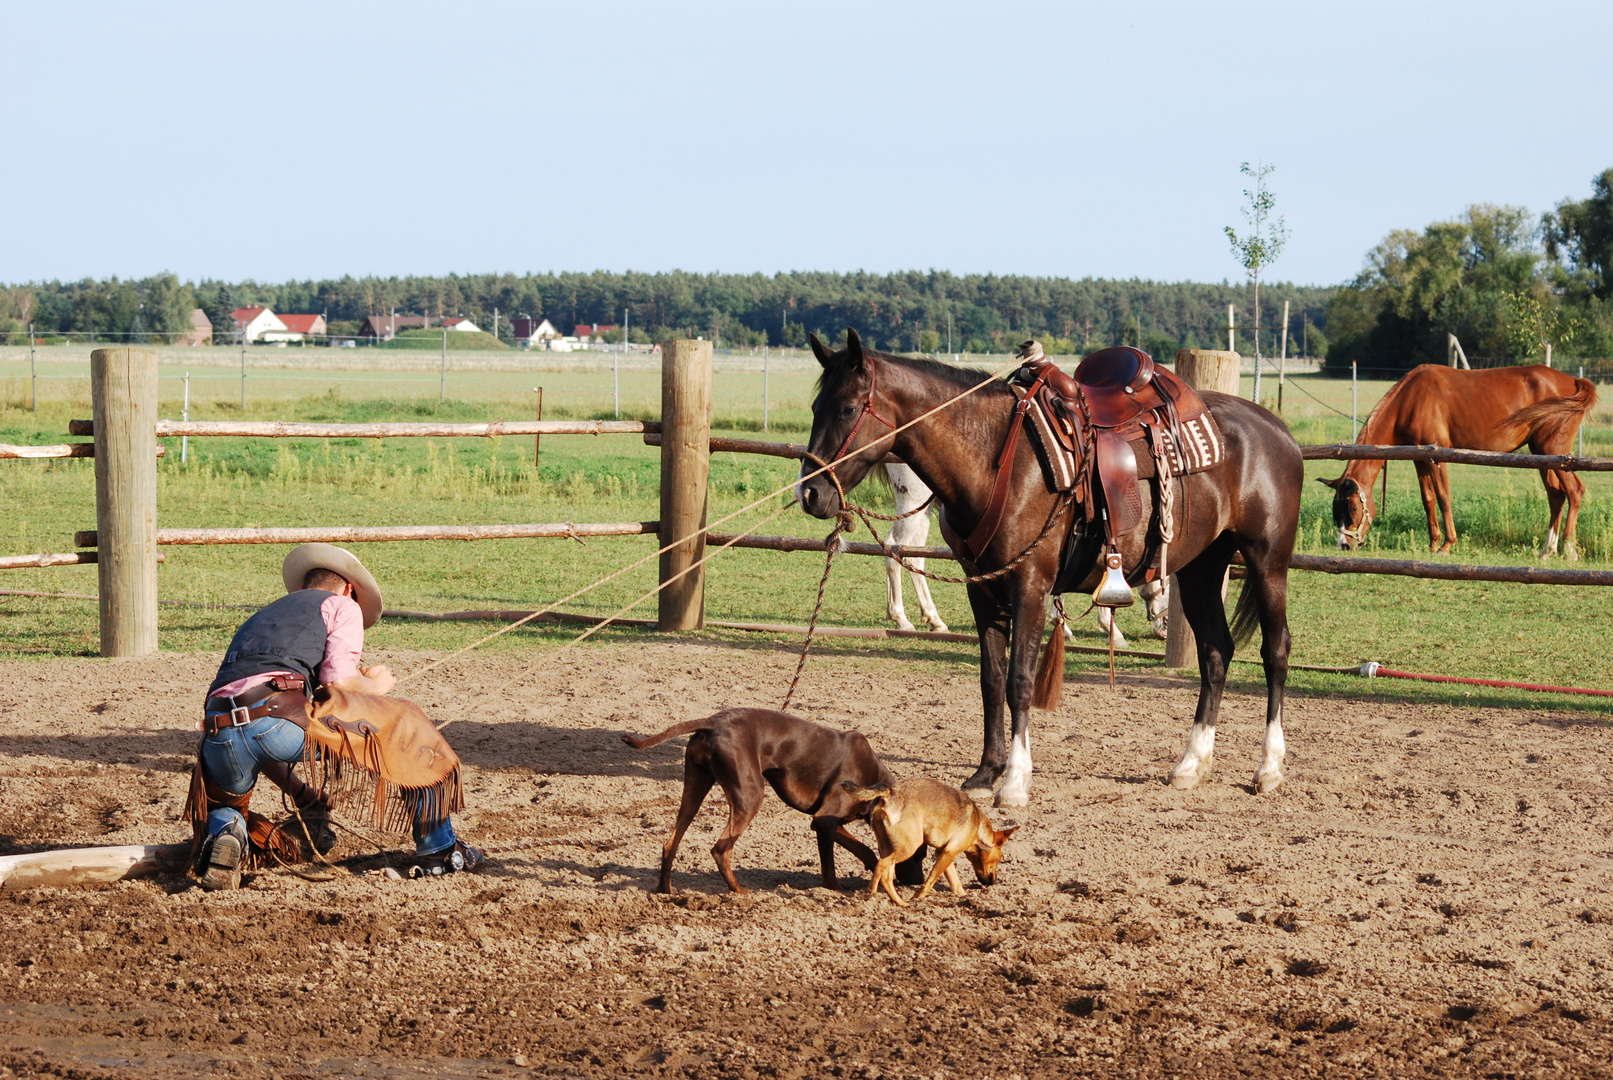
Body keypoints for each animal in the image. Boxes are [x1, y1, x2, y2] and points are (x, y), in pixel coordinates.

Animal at [619, 709, 896, 896]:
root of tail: (713, 723)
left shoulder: (828, 823)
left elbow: (865, 849)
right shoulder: (824, 822)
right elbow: (830, 869)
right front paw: (838, 889)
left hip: (694, 792)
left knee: (670, 843)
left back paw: (665, 889)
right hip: (750, 796)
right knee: (720, 849)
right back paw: (738, 890)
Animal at [800, 333, 1303, 809]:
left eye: (847, 408)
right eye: (815, 407)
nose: (810, 494)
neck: (995, 458)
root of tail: (1277, 429)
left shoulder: (1030, 586)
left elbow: (1020, 681)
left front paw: (1015, 781)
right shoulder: (983, 591)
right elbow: (991, 680)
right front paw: (986, 773)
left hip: (1267, 562)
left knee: (1275, 651)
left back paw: (1269, 768)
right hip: (1202, 566)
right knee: (1216, 652)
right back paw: (1191, 764)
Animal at [845, 780, 1019, 902]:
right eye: (998, 860)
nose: (993, 882)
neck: (978, 829)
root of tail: (890, 792)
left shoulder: (944, 852)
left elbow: (955, 882)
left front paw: (963, 896)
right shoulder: (949, 852)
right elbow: (931, 879)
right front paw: (918, 897)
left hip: (889, 847)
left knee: (886, 875)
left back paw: (900, 903)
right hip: (909, 847)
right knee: (880, 865)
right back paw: (872, 891)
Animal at [1322, 367, 1600, 564]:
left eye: (1354, 507)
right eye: (1336, 508)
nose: (1344, 545)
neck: (1411, 399)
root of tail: (1573, 381)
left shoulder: (1438, 458)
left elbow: (1444, 497)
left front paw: (1446, 545)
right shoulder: (1420, 459)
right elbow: (1428, 500)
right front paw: (1432, 543)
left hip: (1555, 453)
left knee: (1575, 491)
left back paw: (1569, 550)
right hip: (1542, 456)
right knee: (1556, 496)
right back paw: (1547, 550)